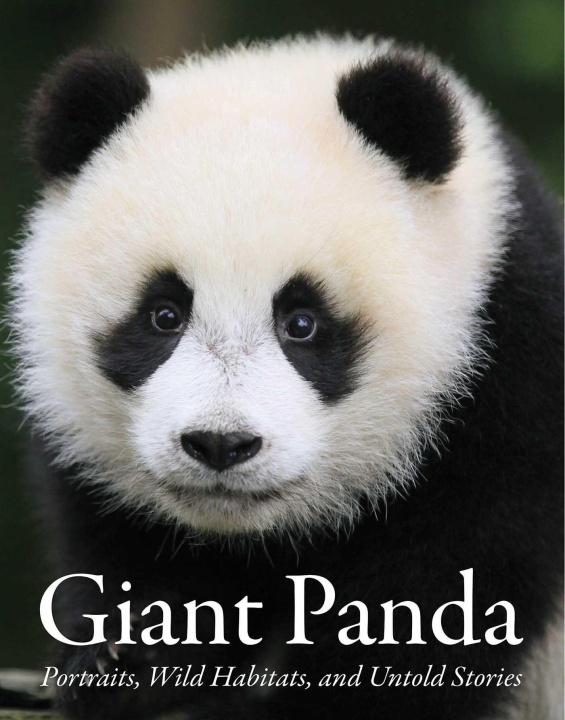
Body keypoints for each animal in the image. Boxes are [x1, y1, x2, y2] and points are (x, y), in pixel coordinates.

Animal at [8, 35, 563, 720]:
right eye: (164, 314)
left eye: (302, 322)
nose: (221, 444)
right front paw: (126, 658)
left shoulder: (510, 368)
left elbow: (453, 580)